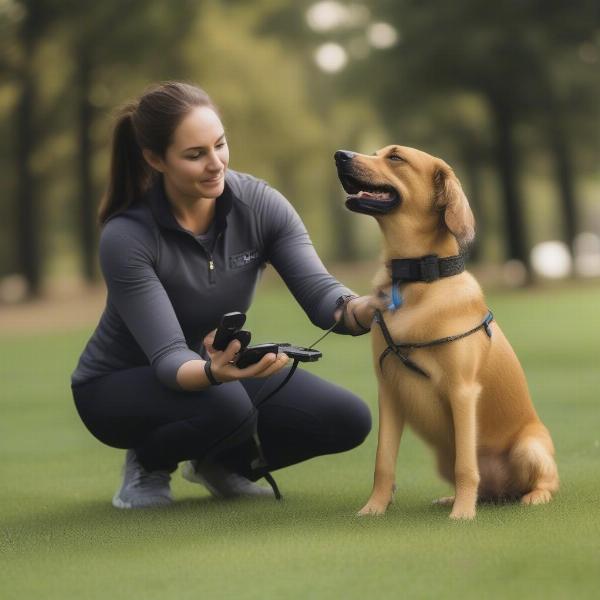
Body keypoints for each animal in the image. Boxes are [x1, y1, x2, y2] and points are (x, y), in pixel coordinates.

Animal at [336, 146, 560, 520]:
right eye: (375, 152)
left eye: (395, 157)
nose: (340, 155)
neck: (416, 281)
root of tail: (504, 492)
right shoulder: (389, 392)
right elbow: (383, 462)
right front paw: (374, 508)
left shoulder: (463, 391)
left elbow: (467, 466)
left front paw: (462, 515)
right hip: (444, 455)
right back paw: (452, 499)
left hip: (529, 447)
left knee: (545, 482)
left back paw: (530, 497)